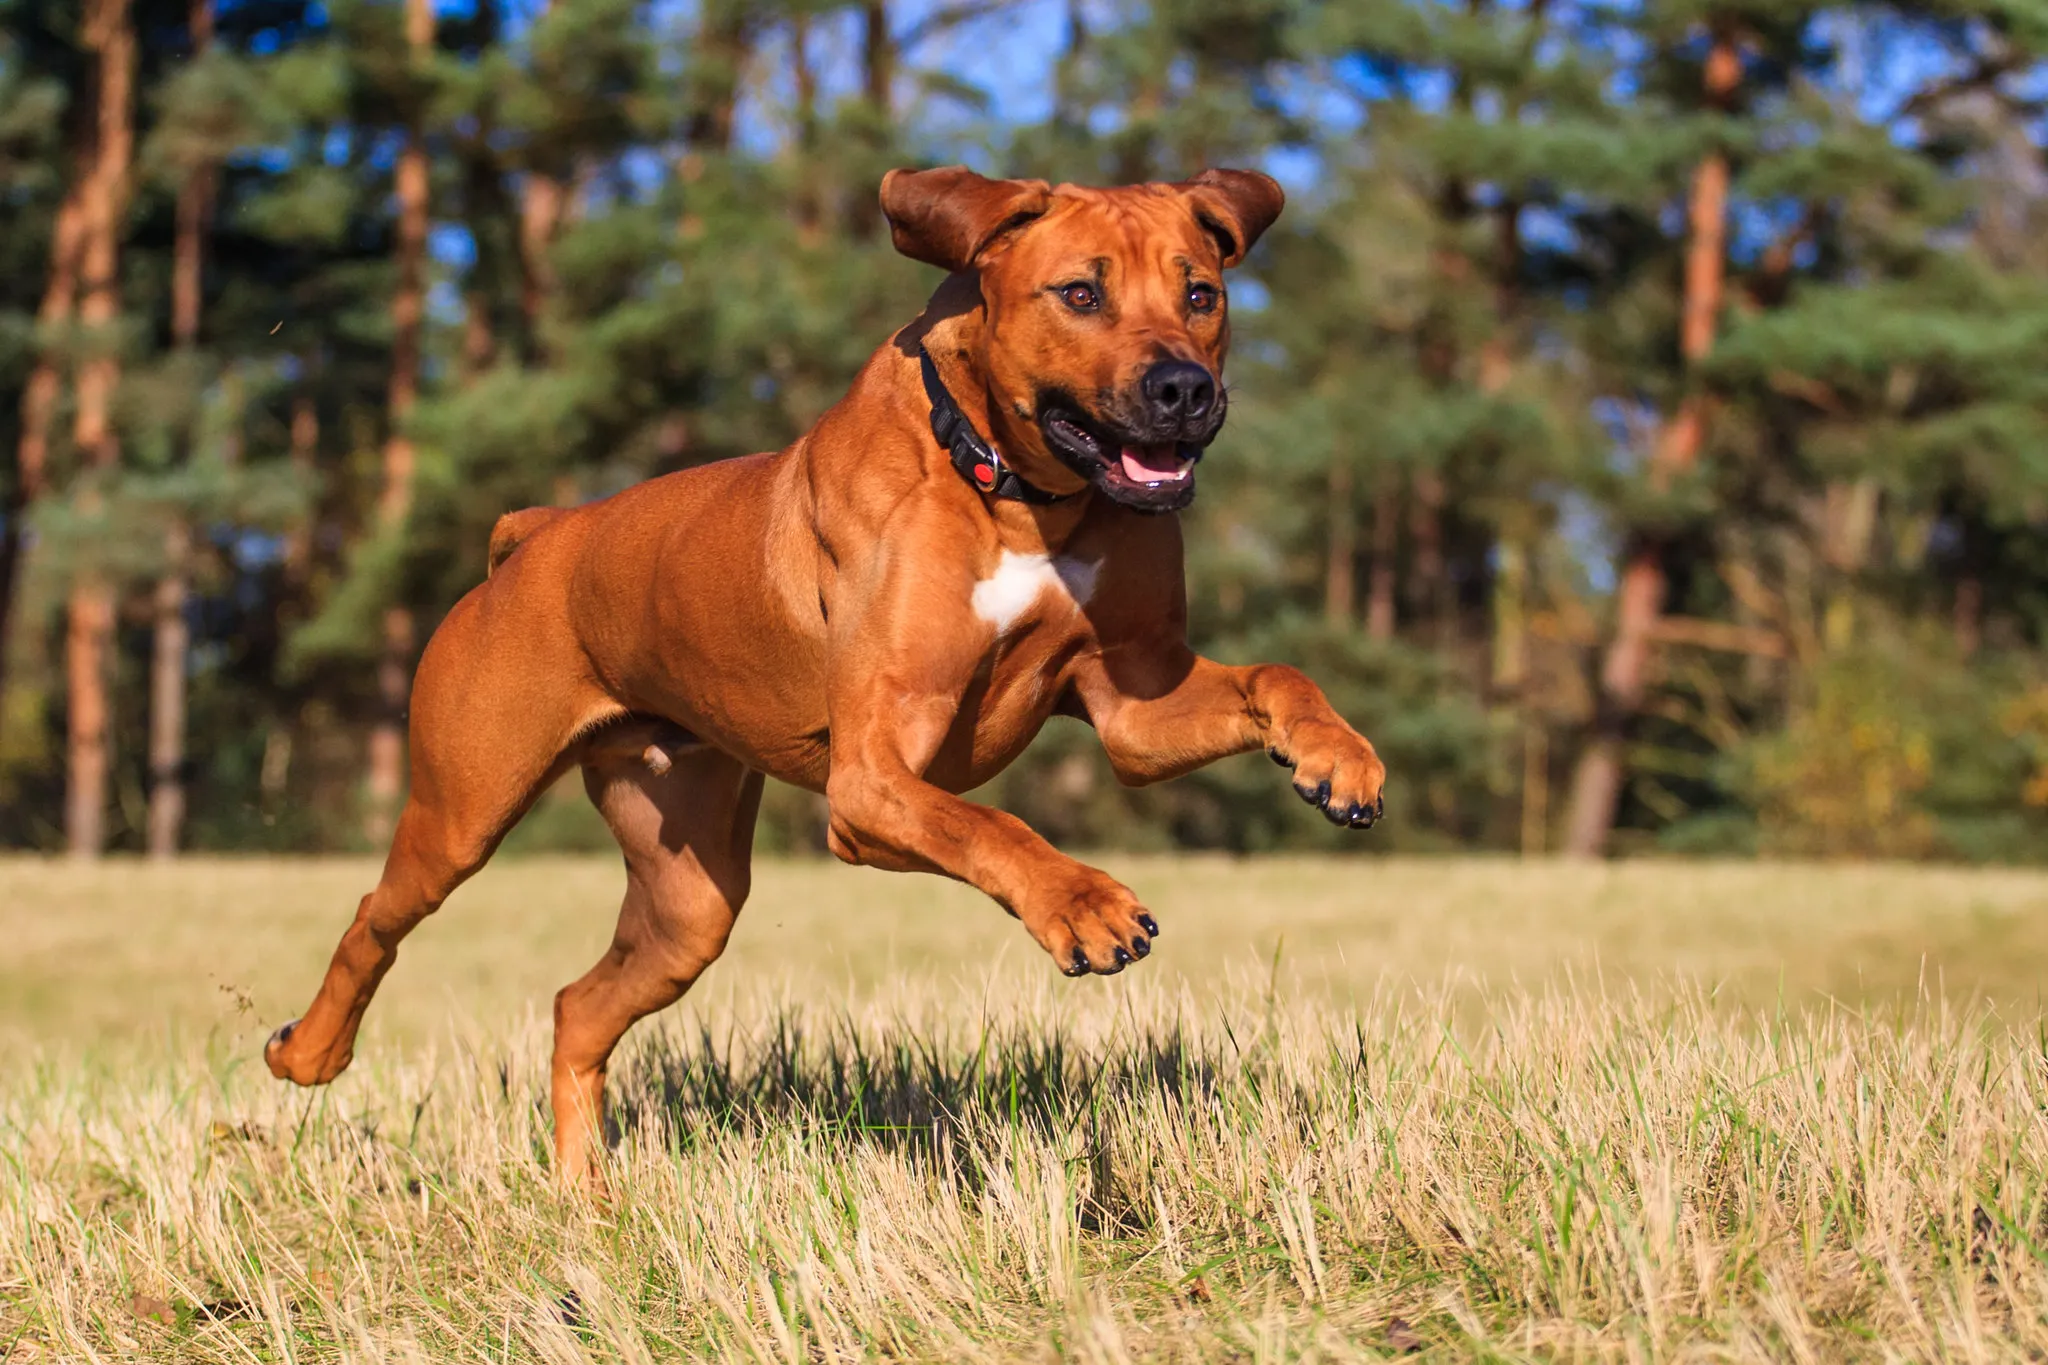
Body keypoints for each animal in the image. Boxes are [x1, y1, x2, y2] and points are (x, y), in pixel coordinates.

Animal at [268, 167, 1392, 1186]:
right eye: (1080, 293)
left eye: (1201, 293)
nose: (1184, 390)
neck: (1014, 487)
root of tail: (539, 534)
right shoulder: (871, 781)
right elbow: (990, 825)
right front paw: (1081, 902)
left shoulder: (1132, 706)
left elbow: (1275, 675)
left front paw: (1337, 757)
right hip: (461, 807)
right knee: (375, 919)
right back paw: (309, 1051)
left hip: (688, 897)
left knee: (577, 1008)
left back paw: (585, 1199)